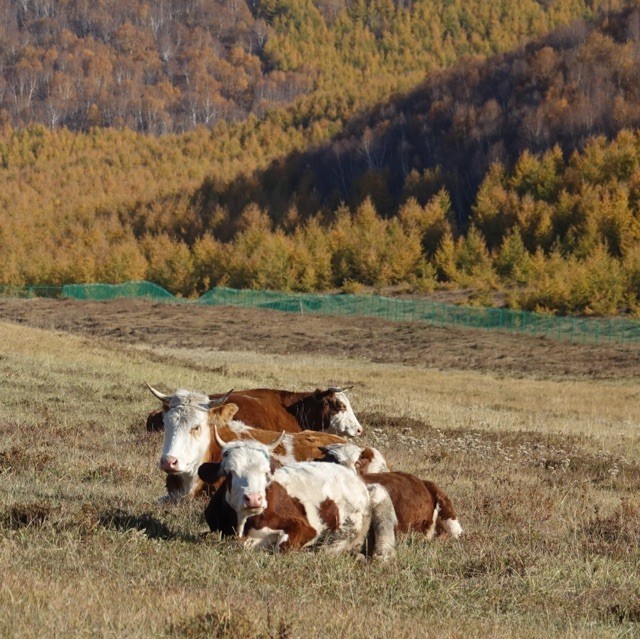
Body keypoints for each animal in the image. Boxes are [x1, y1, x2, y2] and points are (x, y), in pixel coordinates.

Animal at [198, 430, 398, 560]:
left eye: (266, 472)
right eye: (229, 472)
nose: (254, 499)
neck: (242, 524)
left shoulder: (305, 528)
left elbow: (281, 546)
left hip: (376, 499)